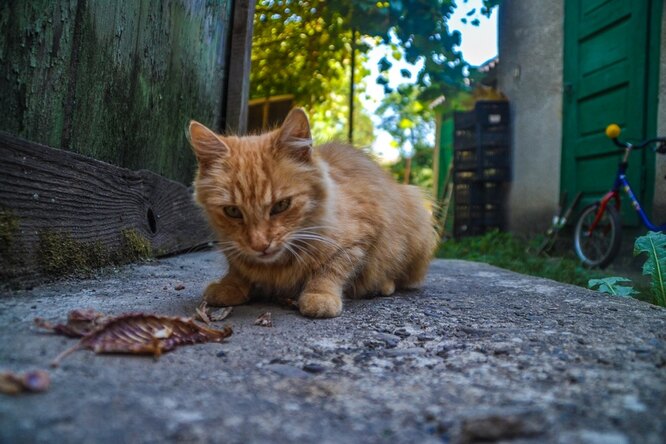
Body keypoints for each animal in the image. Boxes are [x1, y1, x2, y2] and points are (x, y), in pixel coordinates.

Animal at [187, 108, 436, 318]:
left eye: (281, 205)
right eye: (233, 211)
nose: (260, 245)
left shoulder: (360, 236)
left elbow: (331, 268)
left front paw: (320, 295)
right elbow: (237, 268)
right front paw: (230, 285)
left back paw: (383, 285)